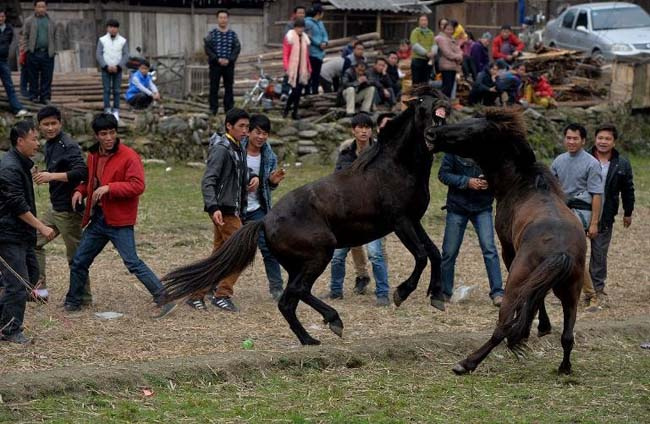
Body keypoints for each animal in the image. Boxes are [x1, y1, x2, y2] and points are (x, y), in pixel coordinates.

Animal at [159, 86, 448, 344]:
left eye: (436, 97)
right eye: (421, 103)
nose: (441, 103)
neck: (398, 166)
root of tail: (265, 220)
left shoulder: (414, 220)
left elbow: (435, 253)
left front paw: (437, 296)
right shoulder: (401, 222)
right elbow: (421, 256)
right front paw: (402, 293)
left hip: (300, 263)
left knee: (290, 299)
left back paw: (312, 337)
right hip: (320, 253)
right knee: (295, 293)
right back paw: (330, 323)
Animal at [422, 109, 584, 374]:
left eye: (469, 130)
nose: (431, 133)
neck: (524, 184)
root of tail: (561, 252)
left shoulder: (509, 251)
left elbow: (529, 303)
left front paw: (532, 331)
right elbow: (536, 299)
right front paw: (539, 328)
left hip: (517, 280)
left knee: (503, 326)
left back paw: (467, 363)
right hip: (571, 293)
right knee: (568, 335)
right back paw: (564, 368)